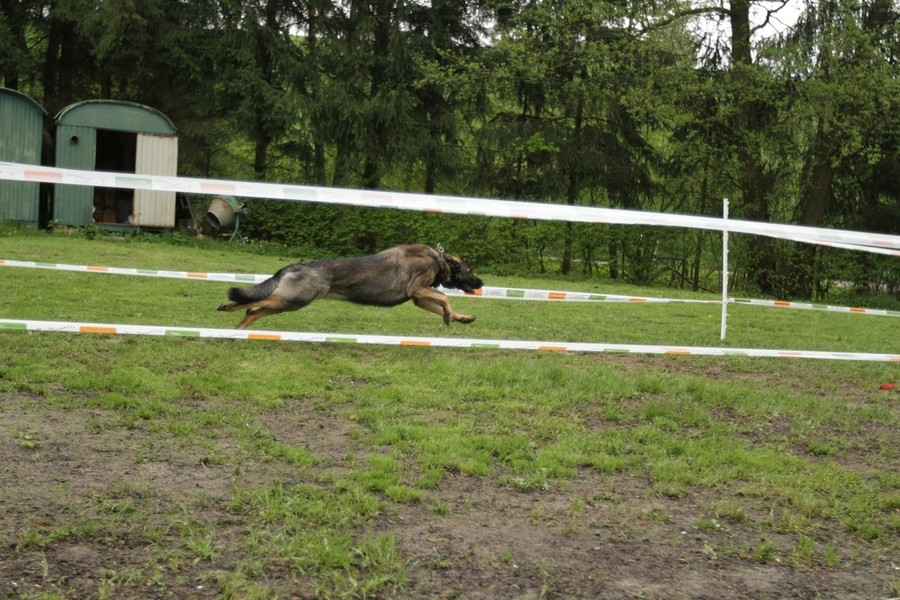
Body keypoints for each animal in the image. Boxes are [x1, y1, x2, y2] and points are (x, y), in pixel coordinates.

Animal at [218, 244, 484, 330]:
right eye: (470, 270)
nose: (482, 283)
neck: (439, 260)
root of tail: (297, 265)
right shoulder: (417, 291)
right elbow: (445, 298)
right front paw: (449, 315)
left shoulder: (420, 298)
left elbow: (445, 306)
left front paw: (459, 317)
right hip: (292, 300)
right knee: (251, 301)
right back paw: (228, 308)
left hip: (288, 303)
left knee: (254, 310)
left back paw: (238, 330)